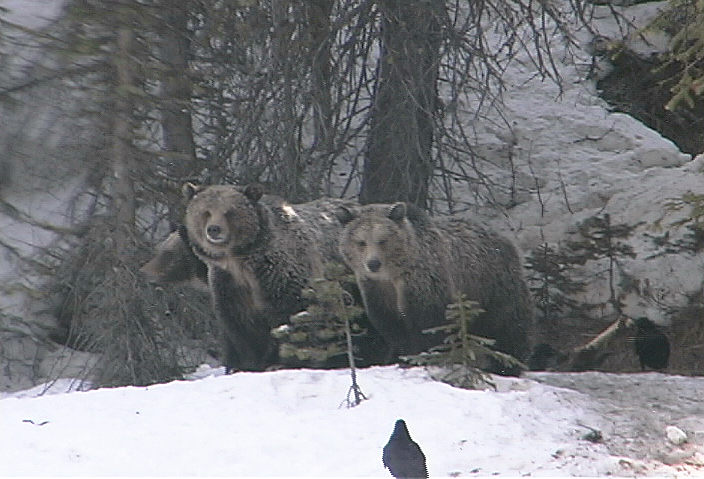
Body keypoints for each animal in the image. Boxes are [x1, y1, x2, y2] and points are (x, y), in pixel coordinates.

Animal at [182, 182, 360, 374]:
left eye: (229, 212)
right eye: (205, 212)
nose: (214, 229)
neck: (242, 261)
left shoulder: (280, 275)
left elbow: (290, 316)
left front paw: (282, 361)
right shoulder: (230, 283)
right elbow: (241, 325)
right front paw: (244, 364)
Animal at [336, 202, 532, 364]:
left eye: (383, 240)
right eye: (361, 242)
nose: (373, 263)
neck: (393, 274)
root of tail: (504, 238)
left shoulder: (424, 284)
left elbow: (430, 325)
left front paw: (424, 355)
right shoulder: (378, 292)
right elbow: (394, 330)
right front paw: (399, 356)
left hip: (493, 287)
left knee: (507, 327)